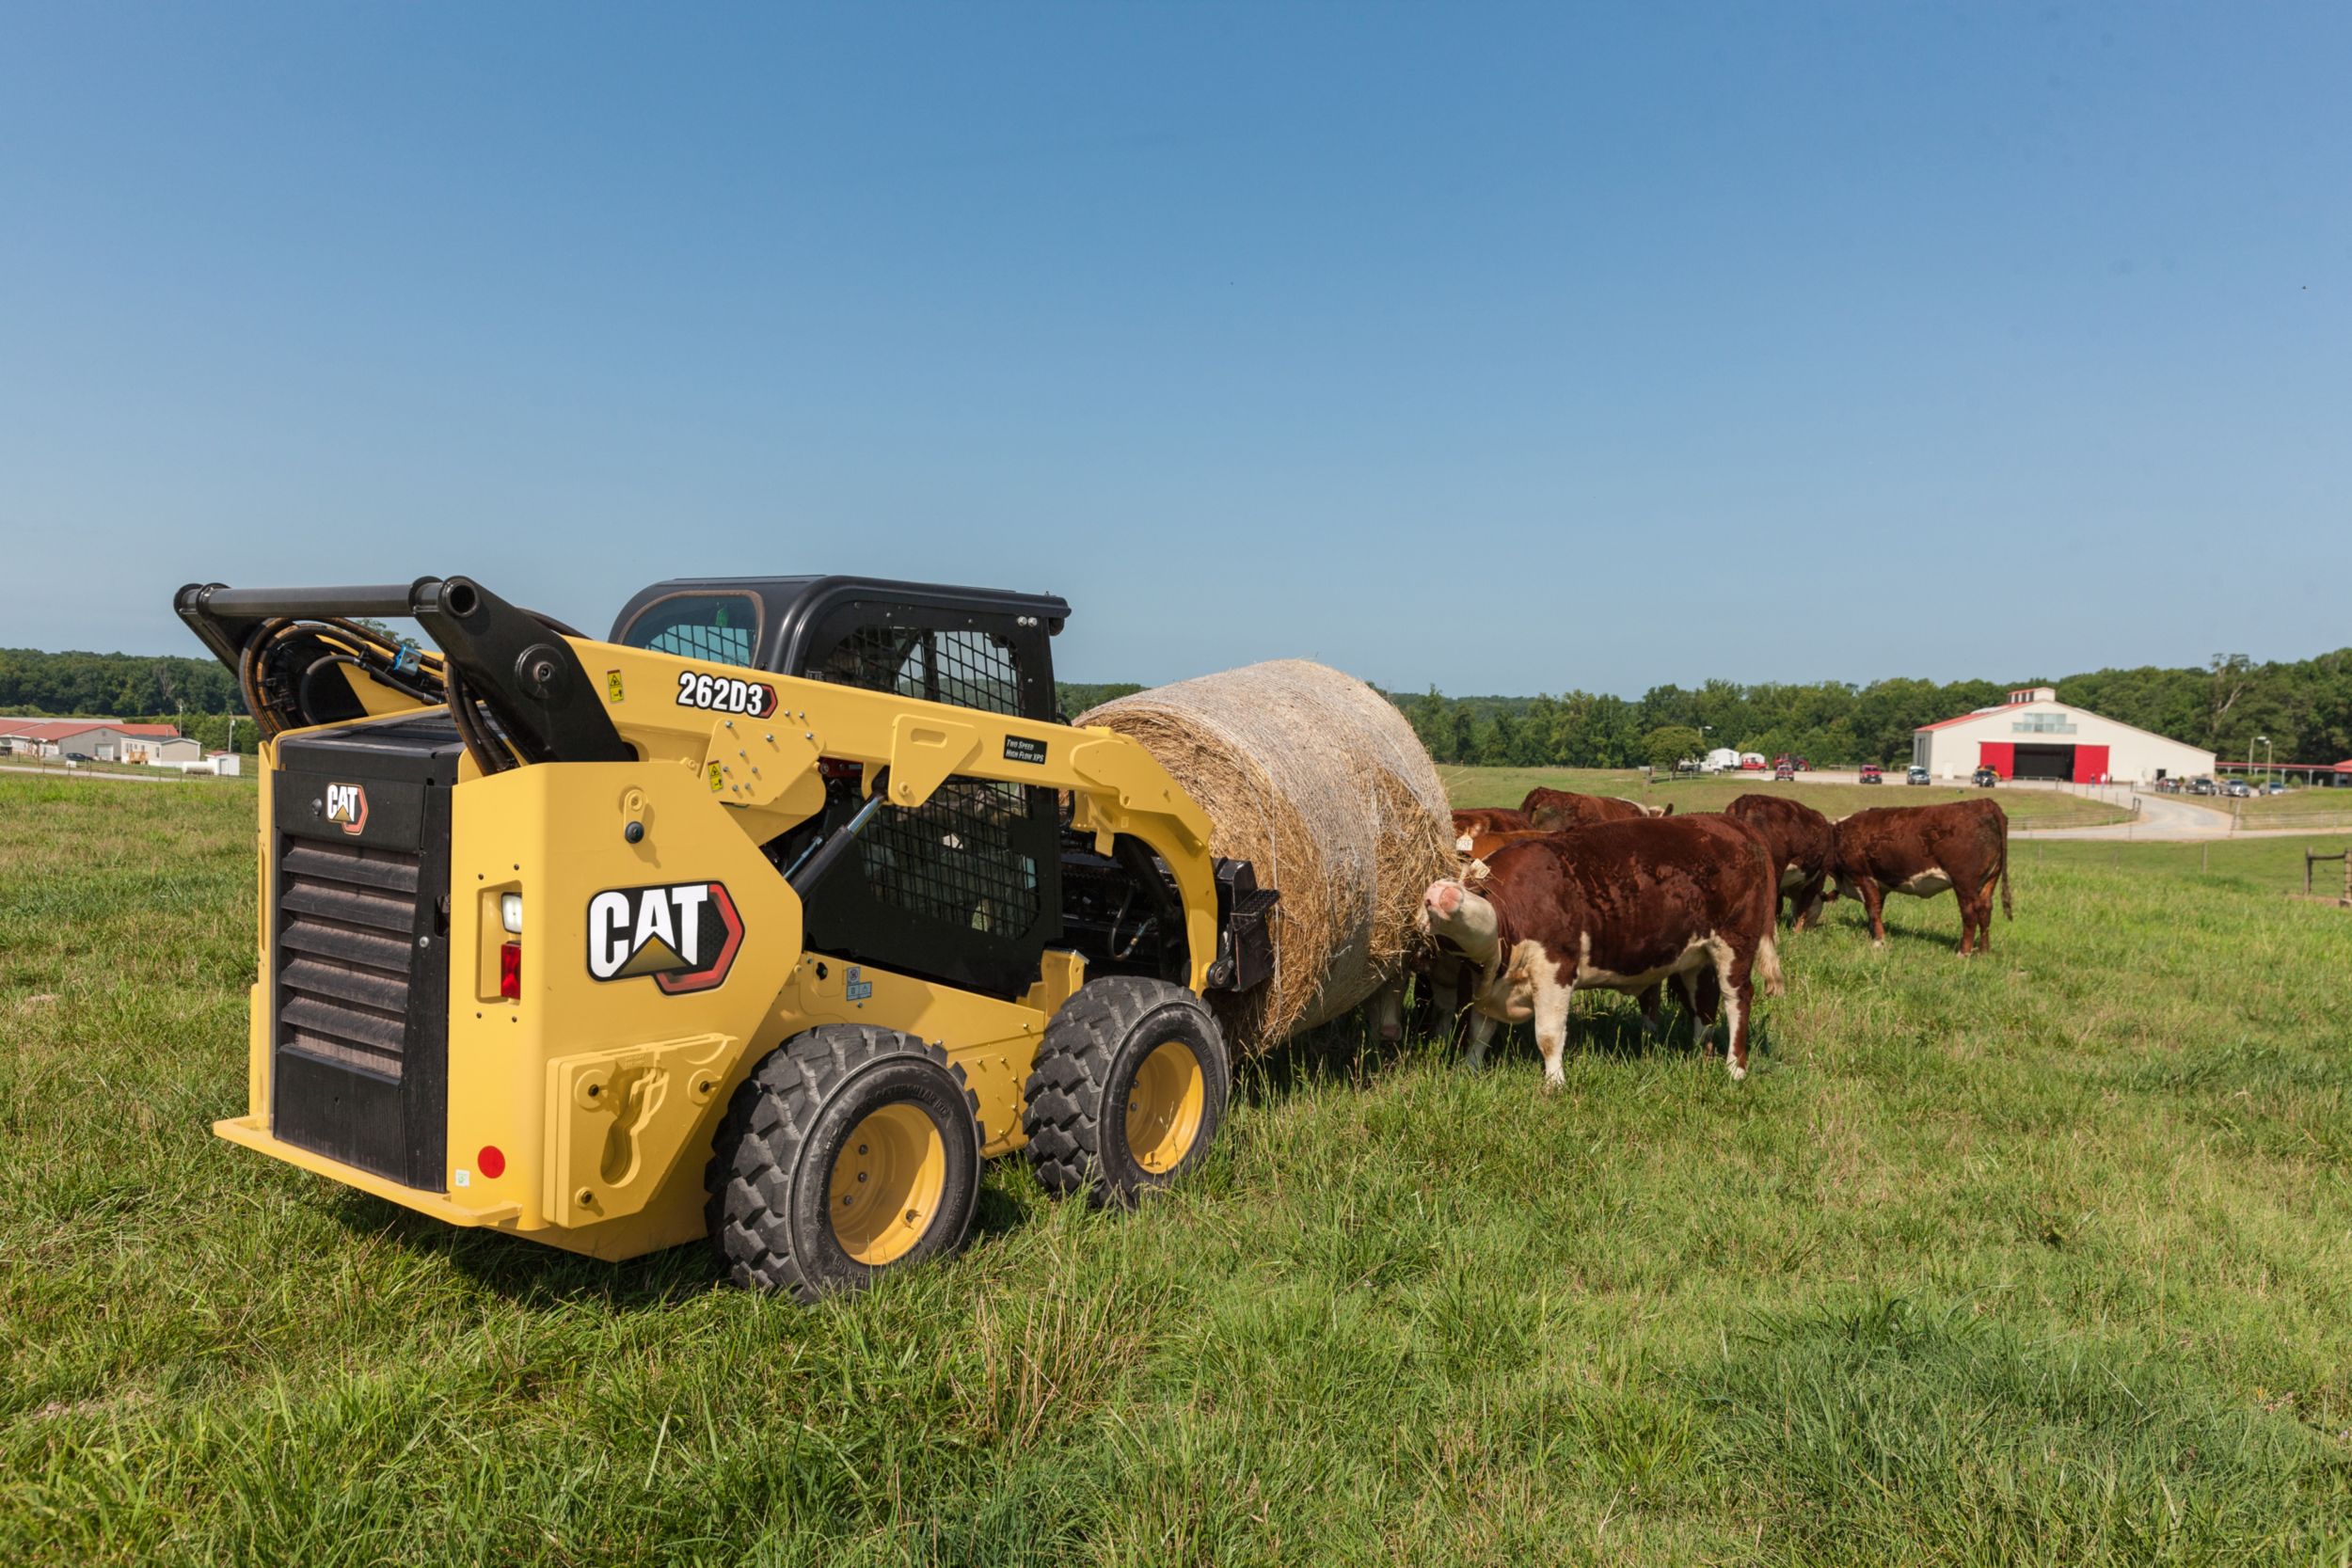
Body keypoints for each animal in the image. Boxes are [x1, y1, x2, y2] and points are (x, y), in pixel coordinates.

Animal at [1411, 817, 1778, 1085]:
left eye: (1464, 889)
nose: (1439, 892)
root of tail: (1728, 823)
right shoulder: (1485, 985)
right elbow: (1479, 1031)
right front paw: (1468, 1070)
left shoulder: (1556, 969)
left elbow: (1548, 1035)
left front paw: (1555, 1083)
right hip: (1696, 957)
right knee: (1704, 1001)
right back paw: (1699, 1052)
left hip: (1735, 944)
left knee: (1737, 999)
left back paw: (1735, 1067)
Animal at [1825, 799, 2013, 958]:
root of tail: (1983, 803)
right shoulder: (1880, 885)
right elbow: (1877, 910)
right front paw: (1874, 935)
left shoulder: (1863, 876)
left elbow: (1872, 909)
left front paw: (1879, 942)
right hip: (1989, 880)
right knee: (1985, 909)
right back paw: (1984, 951)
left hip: (1964, 883)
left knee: (1970, 912)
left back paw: (1963, 953)